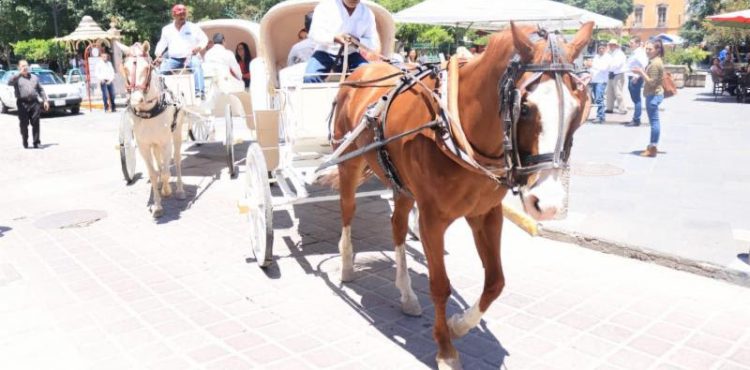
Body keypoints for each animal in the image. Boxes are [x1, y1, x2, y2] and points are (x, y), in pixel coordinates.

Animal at [119, 42, 187, 218]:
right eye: (125, 68)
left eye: (146, 68)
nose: (135, 99)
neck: (149, 111)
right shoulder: (144, 145)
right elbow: (153, 173)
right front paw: (157, 205)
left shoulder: (166, 142)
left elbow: (166, 172)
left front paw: (167, 190)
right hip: (154, 143)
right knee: (159, 162)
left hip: (176, 133)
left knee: (177, 160)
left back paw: (179, 190)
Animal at [326, 21, 596, 368]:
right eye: (525, 108)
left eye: (579, 109)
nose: (547, 205)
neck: (455, 126)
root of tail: (360, 70)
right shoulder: (431, 220)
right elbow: (440, 286)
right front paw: (445, 348)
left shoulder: (486, 214)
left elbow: (495, 282)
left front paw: (459, 325)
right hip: (349, 163)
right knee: (348, 211)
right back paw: (347, 265)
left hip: (402, 184)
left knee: (397, 226)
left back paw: (407, 294)